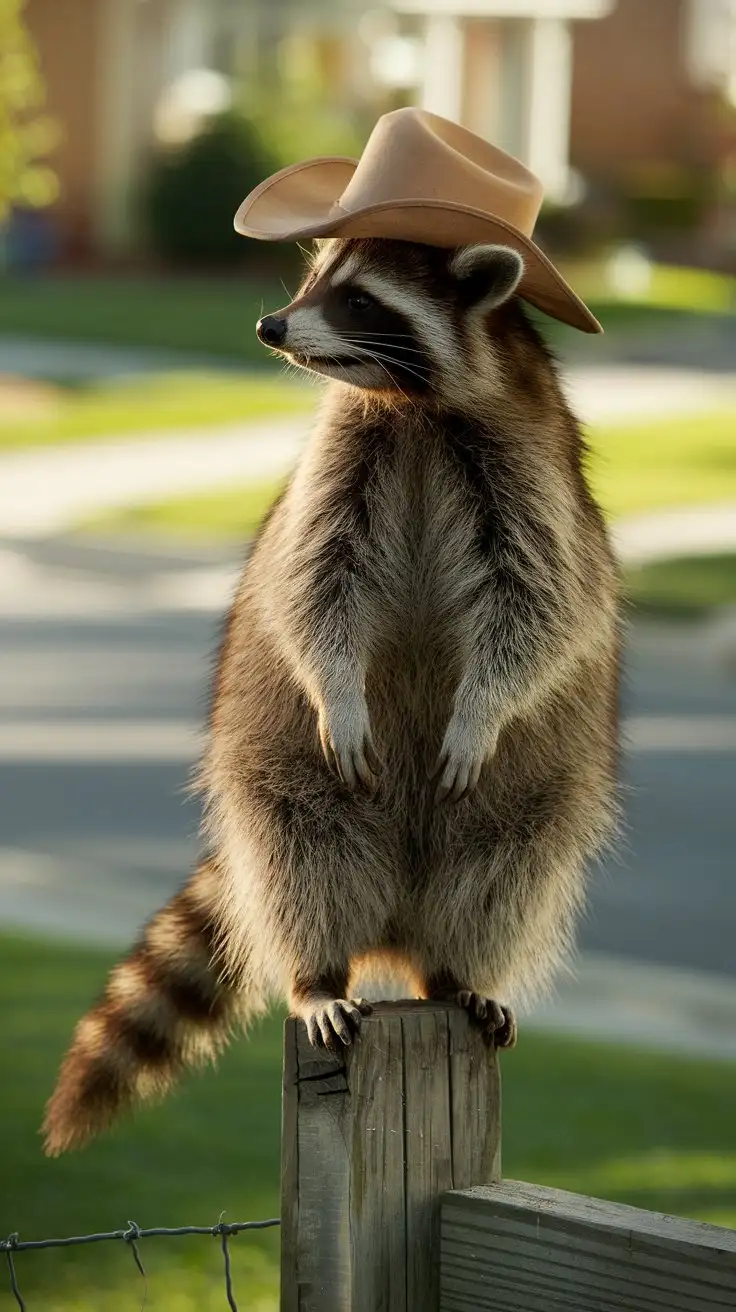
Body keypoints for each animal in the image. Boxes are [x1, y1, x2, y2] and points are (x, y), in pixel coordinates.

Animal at [44, 236, 619, 1149]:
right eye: (315, 280)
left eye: (358, 300)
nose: (271, 326)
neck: (414, 404)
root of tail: (395, 927)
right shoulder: (341, 463)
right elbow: (316, 588)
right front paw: (339, 690)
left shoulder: (533, 475)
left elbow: (540, 606)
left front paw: (482, 707)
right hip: (281, 763)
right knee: (302, 849)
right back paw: (319, 972)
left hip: (535, 786)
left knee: (507, 862)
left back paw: (455, 971)